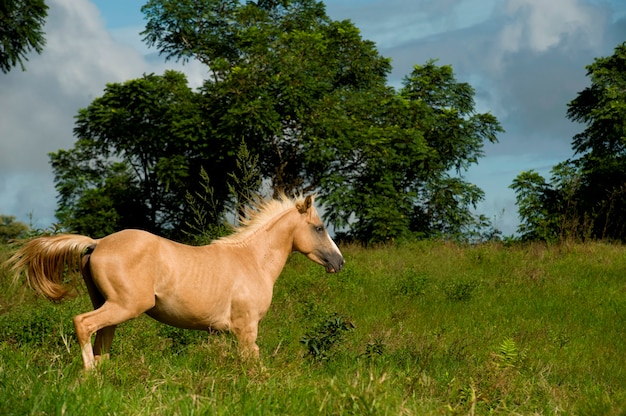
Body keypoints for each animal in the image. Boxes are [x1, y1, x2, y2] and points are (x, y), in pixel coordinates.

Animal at [7, 195, 344, 370]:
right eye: (319, 227)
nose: (339, 262)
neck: (251, 260)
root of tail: (97, 243)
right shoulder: (246, 328)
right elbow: (253, 362)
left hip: (111, 307)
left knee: (101, 342)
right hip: (125, 306)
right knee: (83, 324)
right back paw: (88, 375)